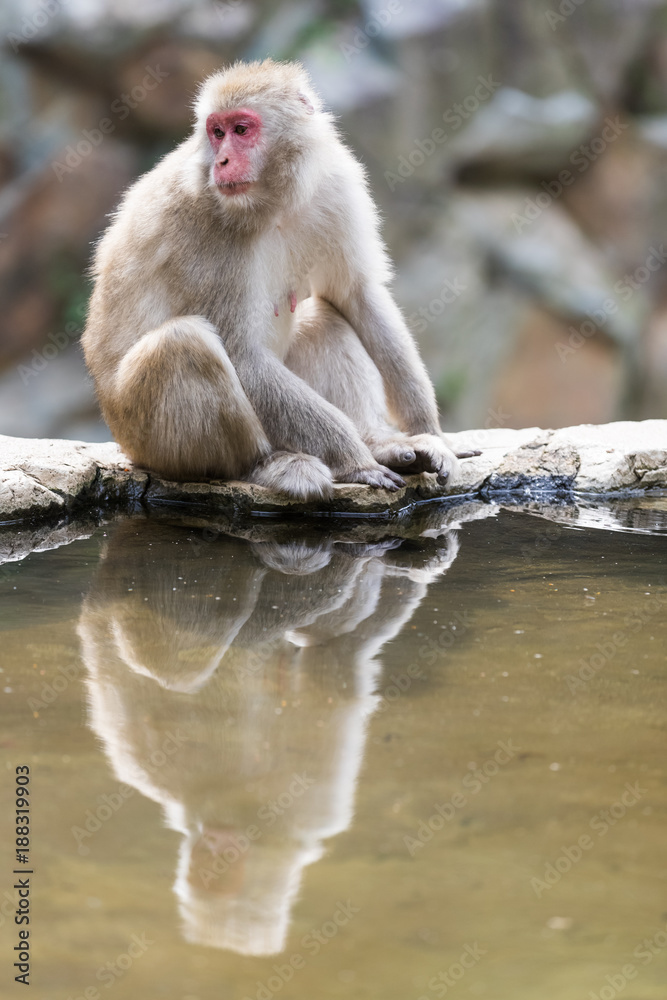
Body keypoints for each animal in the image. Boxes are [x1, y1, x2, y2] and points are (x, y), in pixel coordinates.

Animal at [82, 56, 470, 500]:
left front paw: (432, 435)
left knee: (322, 316)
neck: (274, 202)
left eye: (240, 129)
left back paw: (377, 442)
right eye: (216, 132)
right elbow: (242, 356)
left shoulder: (335, 183)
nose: (221, 162)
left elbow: (358, 294)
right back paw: (263, 466)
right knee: (185, 344)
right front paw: (357, 462)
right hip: (144, 435)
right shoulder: (203, 225)